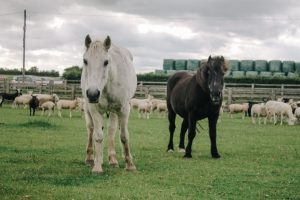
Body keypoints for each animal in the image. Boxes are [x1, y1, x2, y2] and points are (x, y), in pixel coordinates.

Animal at [81, 34, 137, 173]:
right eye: (85, 61)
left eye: (106, 62)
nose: (93, 94)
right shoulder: (94, 109)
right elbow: (98, 136)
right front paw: (97, 167)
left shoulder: (124, 109)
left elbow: (124, 136)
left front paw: (130, 164)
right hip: (88, 108)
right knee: (91, 129)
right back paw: (91, 158)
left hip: (113, 111)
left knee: (111, 131)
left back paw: (113, 160)